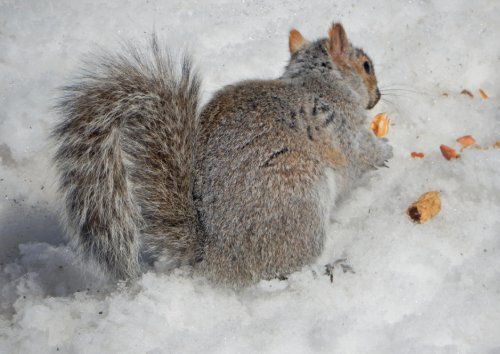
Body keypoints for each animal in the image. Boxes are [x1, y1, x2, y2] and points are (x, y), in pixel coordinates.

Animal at [53, 22, 390, 288]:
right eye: (366, 65)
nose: (377, 97)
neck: (319, 82)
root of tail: (214, 254)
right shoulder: (341, 126)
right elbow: (360, 155)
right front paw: (386, 150)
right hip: (301, 198)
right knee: (277, 269)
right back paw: (326, 268)